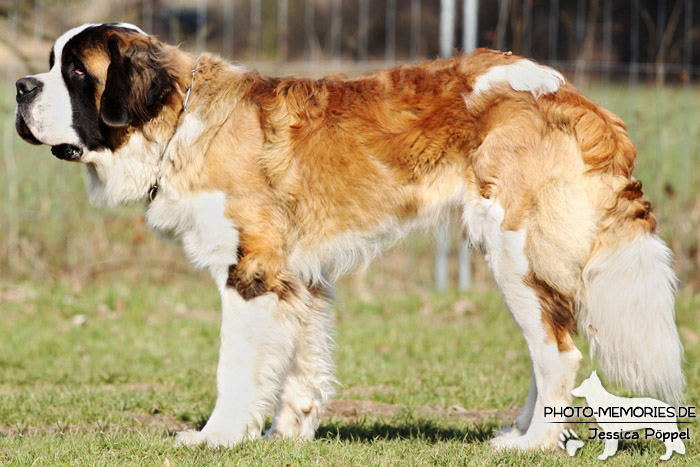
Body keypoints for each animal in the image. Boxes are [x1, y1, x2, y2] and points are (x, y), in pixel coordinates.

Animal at [15, 23, 684, 452]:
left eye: (74, 72)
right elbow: (299, 362)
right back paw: (518, 432)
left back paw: (536, 443)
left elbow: (235, 367)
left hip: (515, 252)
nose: (21, 87)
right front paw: (287, 434)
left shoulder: (250, 272)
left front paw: (216, 437)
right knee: (548, 344)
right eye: (50, 64)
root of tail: (574, 98)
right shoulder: (297, 278)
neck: (180, 121)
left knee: (558, 350)